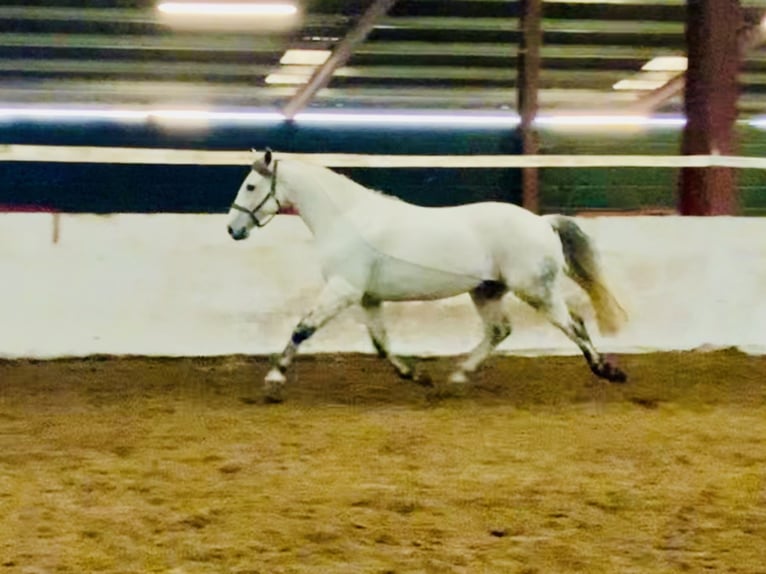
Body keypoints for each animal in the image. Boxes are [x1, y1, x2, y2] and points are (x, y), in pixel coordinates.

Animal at [226, 148, 632, 402]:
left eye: (250, 186)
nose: (233, 229)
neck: (348, 219)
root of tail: (541, 222)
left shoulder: (343, 289)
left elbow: (302, 329)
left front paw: (274, 380)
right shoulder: (368, 297)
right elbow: (380, 344)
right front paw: (417, 376)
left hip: (535, 290)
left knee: (573, 325)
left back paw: (607, 371)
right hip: (487, 290)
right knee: (499, 331)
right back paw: (456, 379)